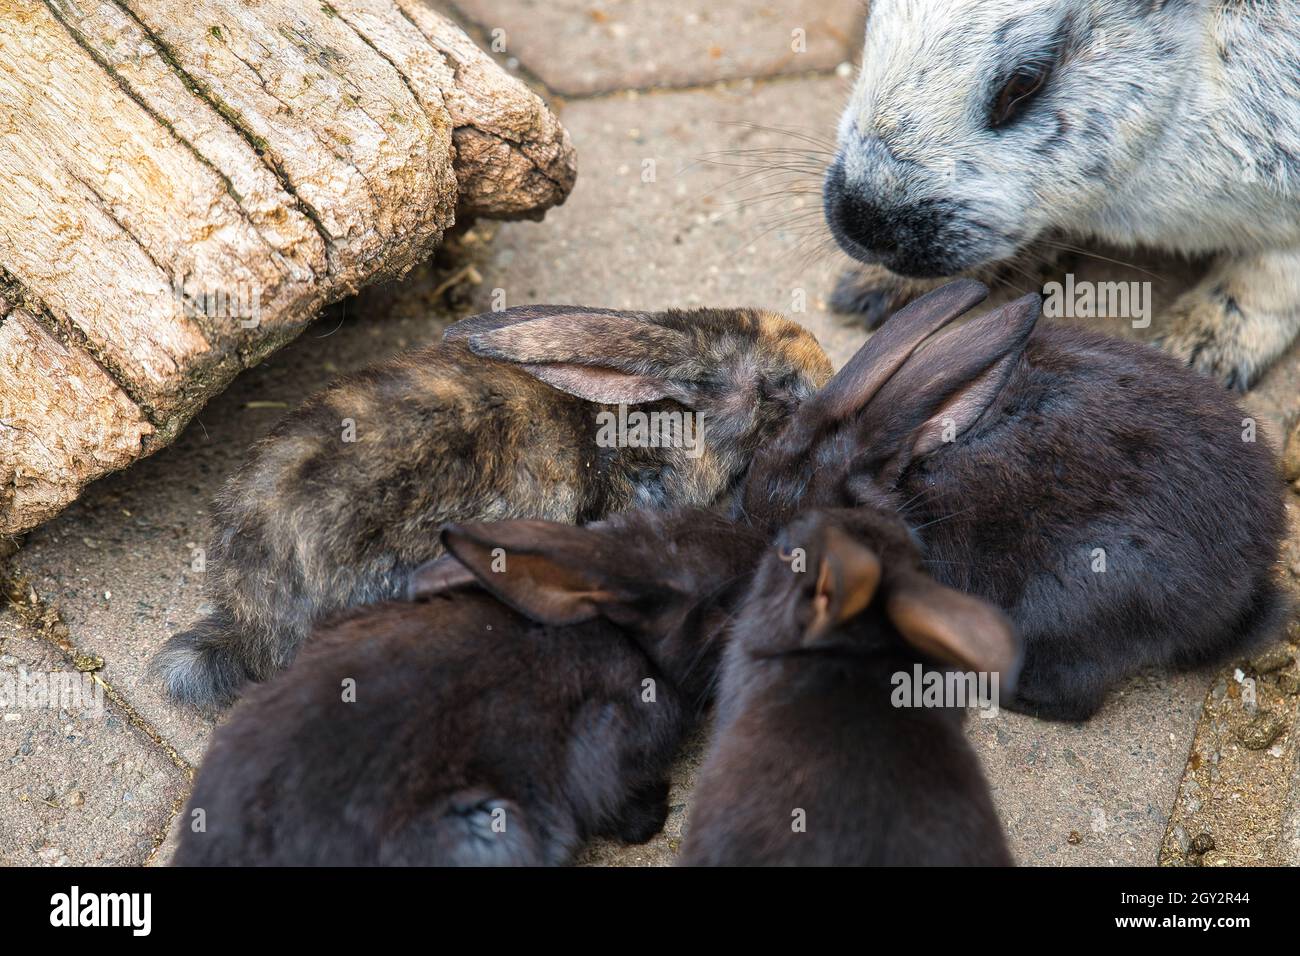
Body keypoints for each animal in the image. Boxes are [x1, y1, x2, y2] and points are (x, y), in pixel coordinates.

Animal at [824, 0, 1300, 390]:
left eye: (1024, 83)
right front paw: (872, 289)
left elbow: (1266, 279)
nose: (861, 224)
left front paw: (1195, 346)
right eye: (869, 17)